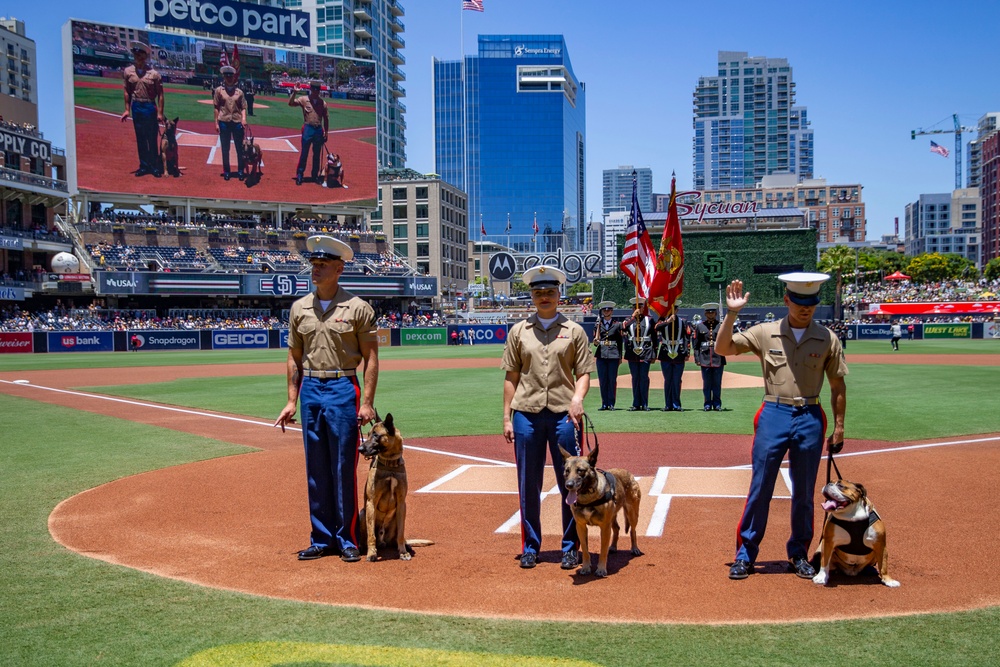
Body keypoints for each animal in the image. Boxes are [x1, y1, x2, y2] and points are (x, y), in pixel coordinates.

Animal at [560, 440, 644, 576]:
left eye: (580, 471)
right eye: (567, 471)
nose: (569, 485)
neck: (587, 498)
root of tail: (628, 472)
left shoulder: (604, 528)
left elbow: (603, 551)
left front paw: (601, 569)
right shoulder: (581, 527)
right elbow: (585, 550)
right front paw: (586, 567)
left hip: (632, 514)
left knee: (633, 530)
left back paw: (635, 548)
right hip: (613, 517)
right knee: (617, 528)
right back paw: (613, 547)